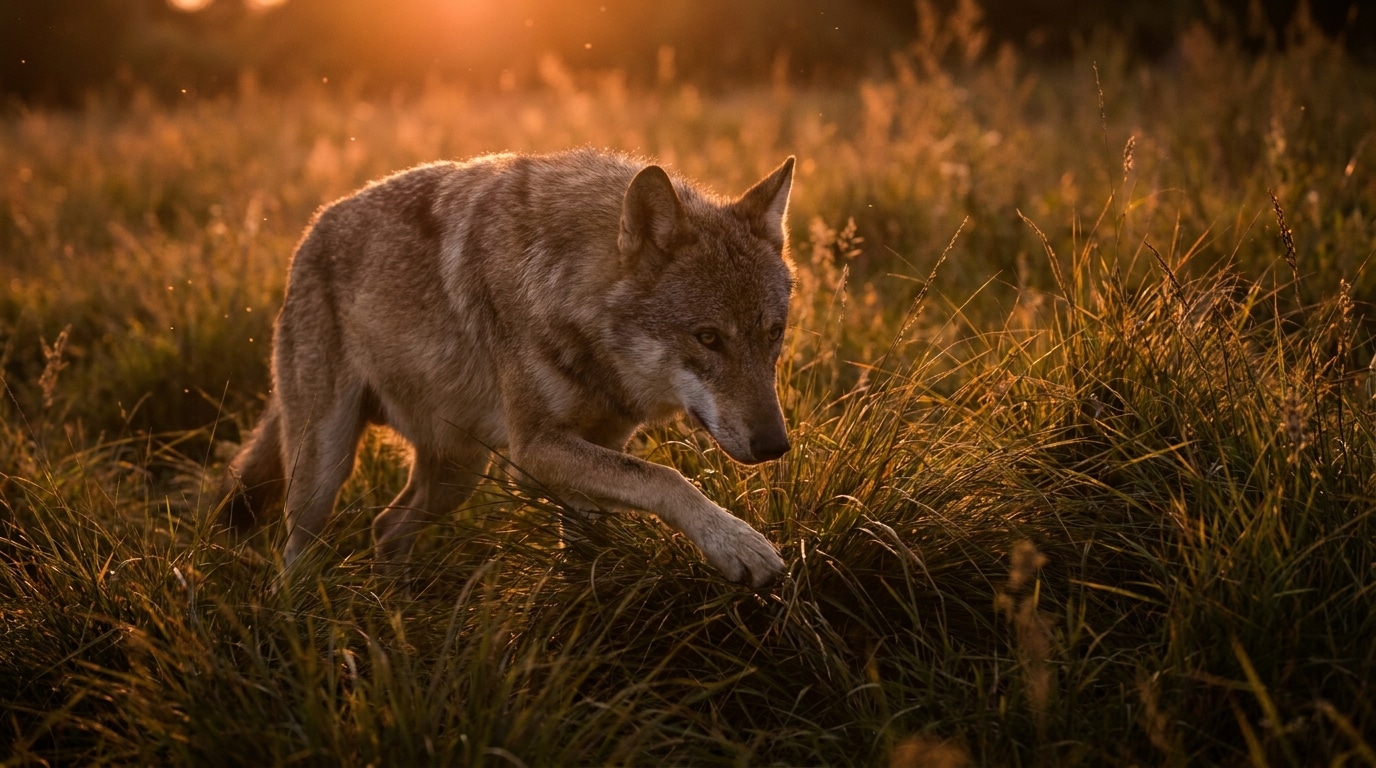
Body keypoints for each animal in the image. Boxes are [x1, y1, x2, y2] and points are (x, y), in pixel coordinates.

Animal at [220, 148, 796, 588]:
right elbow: (667, 477)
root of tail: (311, 229)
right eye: (708, 338)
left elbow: (594, 536)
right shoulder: (533, 450)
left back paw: (397, 607)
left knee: (386, 526)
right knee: (297, 554)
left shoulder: (600, 445)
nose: (775, 445)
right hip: (325, 473)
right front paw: (739, 544)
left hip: (460, 471)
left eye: (774, 333)